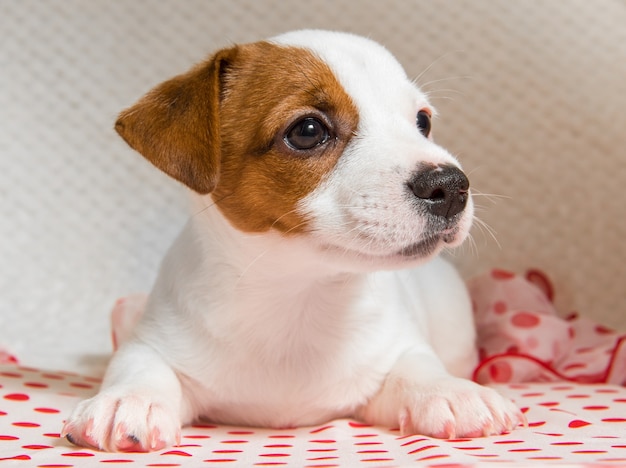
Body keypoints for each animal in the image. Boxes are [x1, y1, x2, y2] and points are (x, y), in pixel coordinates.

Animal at [63, 30, 520, 454]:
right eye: (308, 130)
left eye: (422, 122)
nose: (451, 185)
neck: (297, 294)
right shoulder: (154, 342)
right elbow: (139, 365)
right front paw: (128, 399)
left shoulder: (396, 350)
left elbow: (417, 366)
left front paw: (449, 390)